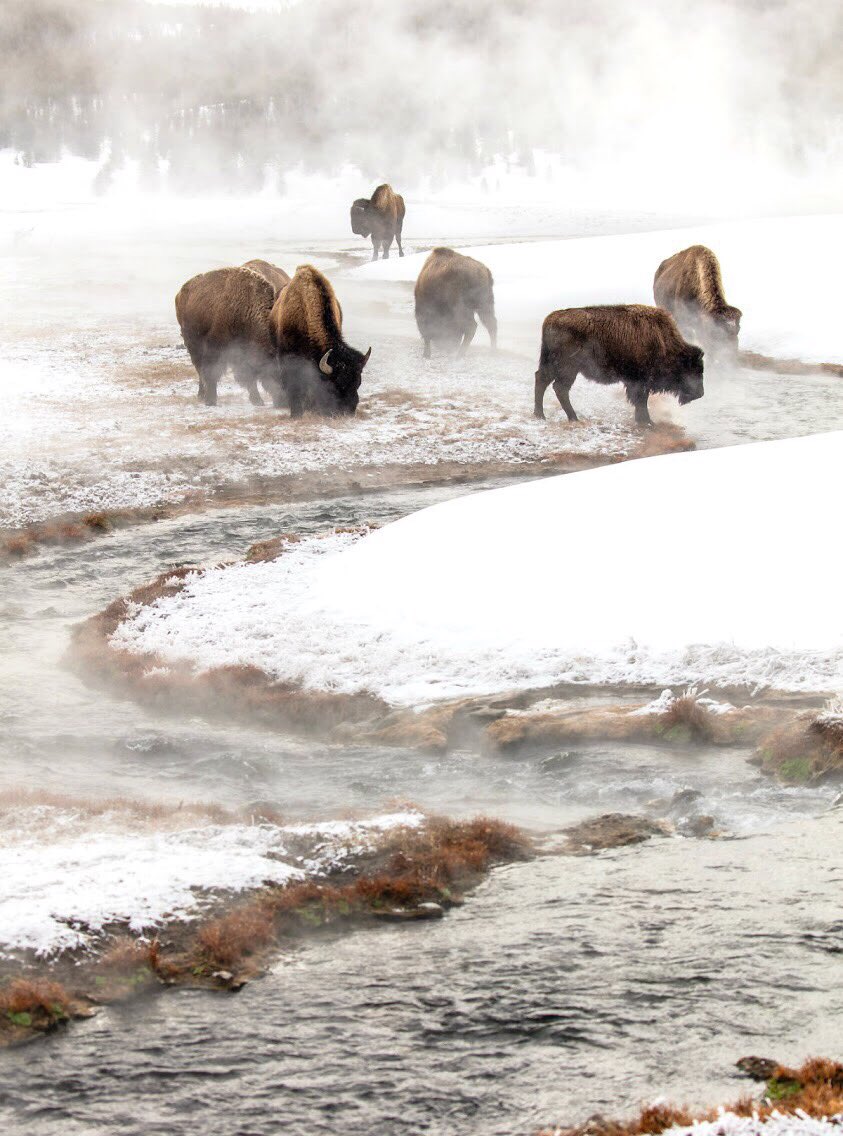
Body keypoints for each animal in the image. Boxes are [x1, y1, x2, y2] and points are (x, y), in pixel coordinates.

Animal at [175, 266, 282, 406]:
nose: (283, 402)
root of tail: (181, 292)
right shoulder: (216, 346)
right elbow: (212, 372)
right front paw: (211, 400)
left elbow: (249, 376)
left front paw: (257, 400)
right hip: (192, 344)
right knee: (199, 369)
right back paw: (202, 395)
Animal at [534, 304, 704, 427]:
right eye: (692, 369)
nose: (700, 394)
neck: (664, 343)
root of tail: (550, 319)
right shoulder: (639, 381)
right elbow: (641, 400)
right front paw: (648, 422)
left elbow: (641, 401)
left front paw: (645, 421)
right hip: (568, 369)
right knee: (559, 388)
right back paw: (572, 418)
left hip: (553, 366)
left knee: (543, 381)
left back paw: (541, 415)